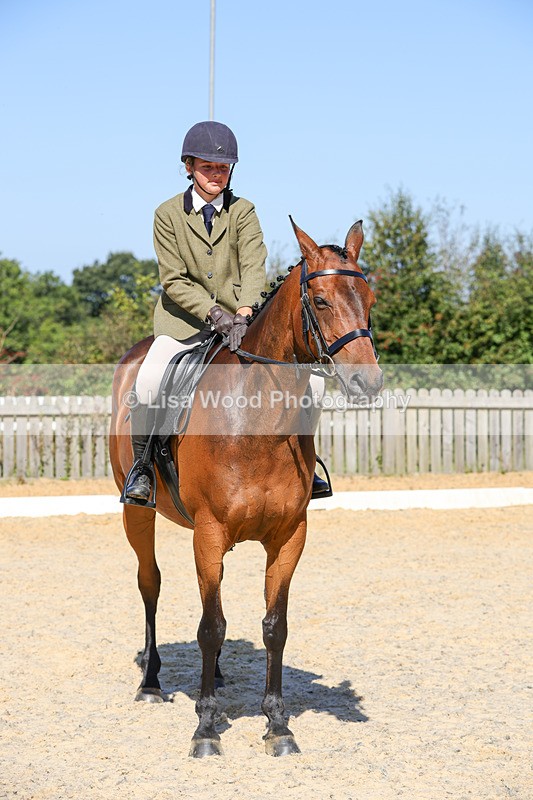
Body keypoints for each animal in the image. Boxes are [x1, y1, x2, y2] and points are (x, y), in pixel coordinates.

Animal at [109, 219, 383, 758]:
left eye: (368, 297)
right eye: (321, 301)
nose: (370, 382)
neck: (257, 421)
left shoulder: (289, 536)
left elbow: (272, 627)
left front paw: (277, 725)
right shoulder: (209, 532)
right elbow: (210, 627)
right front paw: (206, 729)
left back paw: (212, 678)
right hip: (138, 514)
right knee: (150, 583)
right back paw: (152, 682)